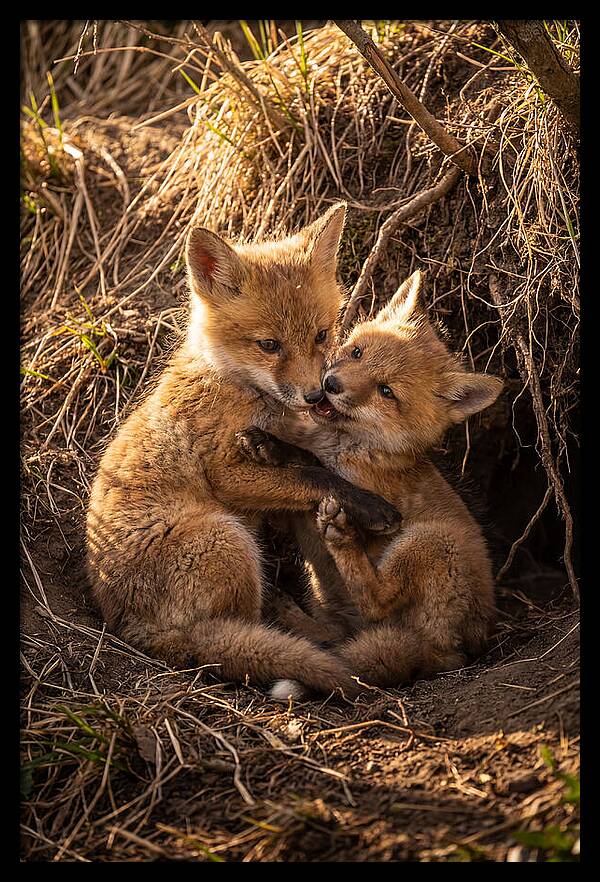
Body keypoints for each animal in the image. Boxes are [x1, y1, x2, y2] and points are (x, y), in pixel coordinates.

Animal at [85, 203, 402, 699]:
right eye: (269, 345)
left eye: (321, 335)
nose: (316, 395)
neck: (234, 385)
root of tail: (130, 630)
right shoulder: (226, 473)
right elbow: (313, 476)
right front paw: (369, 506)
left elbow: (306, 461)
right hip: (227, 538)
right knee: (242, 632)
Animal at [235, 270, 503, 701]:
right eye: (358, 352)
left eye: (386, 391)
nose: (330, 384)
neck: (347, 444)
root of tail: (455, 653)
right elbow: (303, 462)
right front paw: (270, 444)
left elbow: (315, 466)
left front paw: (278, 449)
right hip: (333, 601)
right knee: (336, 635)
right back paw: (290, 614)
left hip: (430, 541)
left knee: (377, 600)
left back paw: (341, 540)